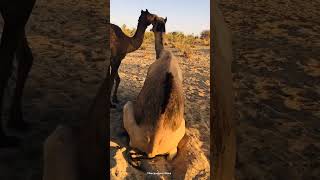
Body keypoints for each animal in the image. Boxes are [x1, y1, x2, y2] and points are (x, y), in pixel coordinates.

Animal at [122, 17, 185, 160]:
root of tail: (153, 146)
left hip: (128, 110)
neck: (164, 54)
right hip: (176, 140)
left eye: (154, 23)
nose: (150, 28)